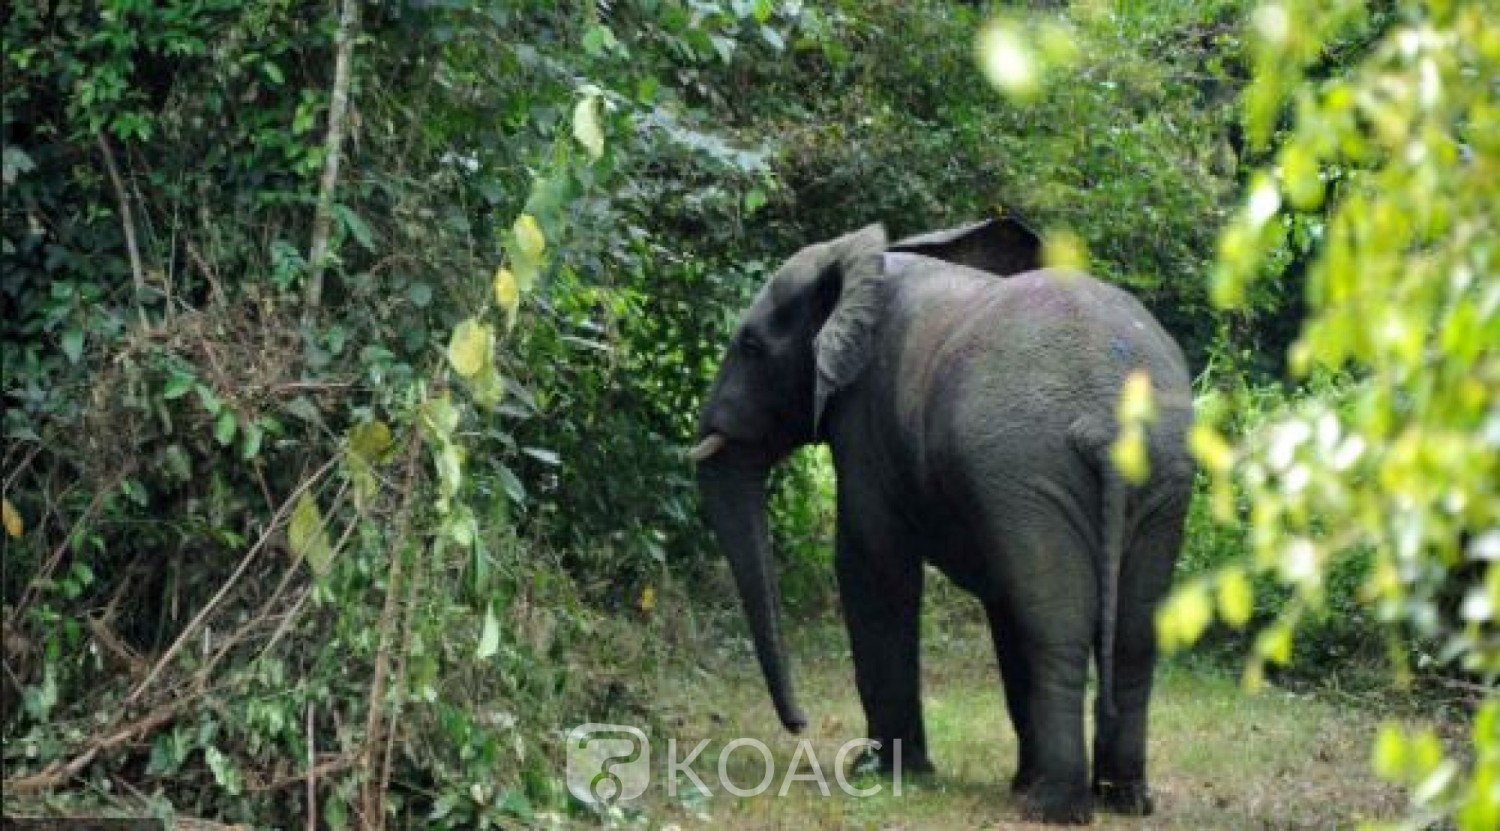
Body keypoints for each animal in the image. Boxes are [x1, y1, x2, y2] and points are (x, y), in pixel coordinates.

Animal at [690, 220, 1194, 824]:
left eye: (750, 346)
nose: (801, 724)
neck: (865, 261)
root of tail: (1105, 419)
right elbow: (1003, 602)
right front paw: (1011, 780)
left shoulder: (869, 422)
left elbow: (871, 566)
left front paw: (881, 774)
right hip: (1155, 475)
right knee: (1133, 631)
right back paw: (1122, 799)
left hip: (1031, 464)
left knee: (1057, 629)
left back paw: (1053, 808)